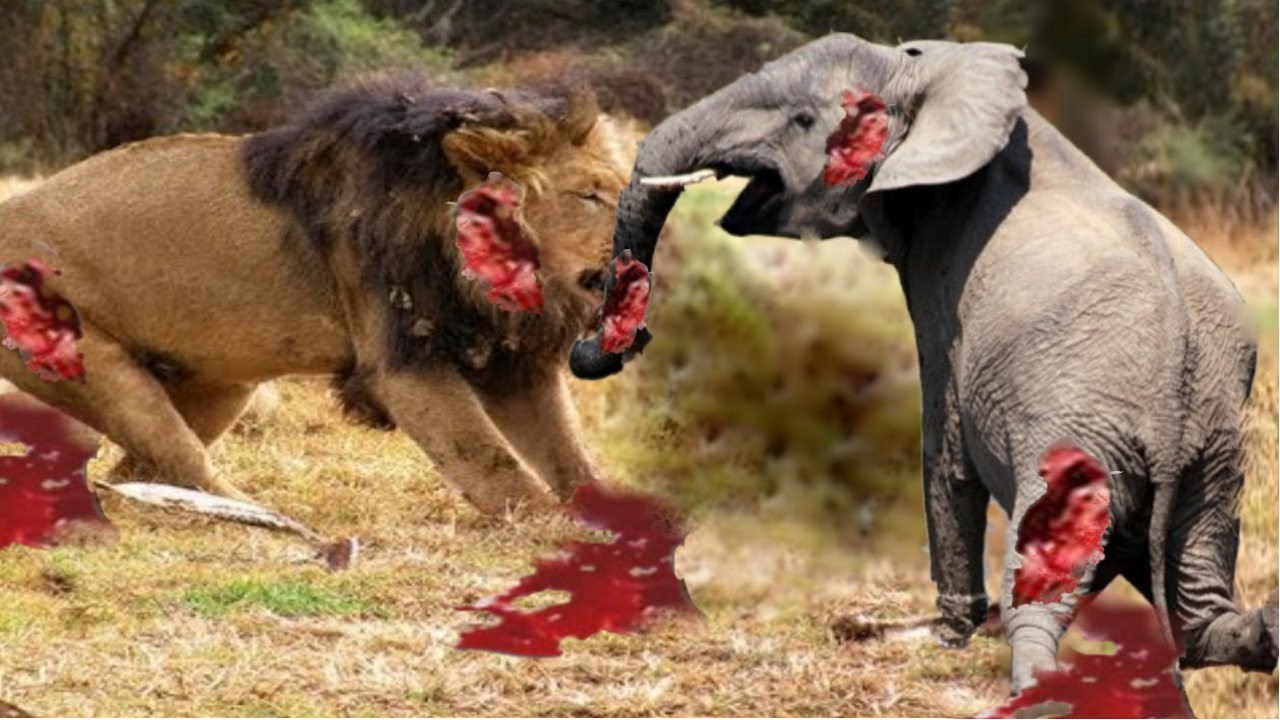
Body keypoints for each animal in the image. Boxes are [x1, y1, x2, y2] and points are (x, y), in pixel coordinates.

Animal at [0, 76, 634, 514]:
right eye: (588, 196)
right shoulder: (405, 363)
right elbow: (494, 465)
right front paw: (560, 533)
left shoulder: (511, 363)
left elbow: (571, 458)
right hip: (96, 366)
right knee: (180, 458)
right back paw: (262, 518)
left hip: (222, 385)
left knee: (141, 468)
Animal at [567, 33, 1279, 694]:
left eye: (802, 119)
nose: (613, 345)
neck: (926, 72)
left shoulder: (945, 279)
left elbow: (944, 440)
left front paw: (947, 632)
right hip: (1214, 458)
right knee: (1202, 609)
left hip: (1083, 438)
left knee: (1045, 595)